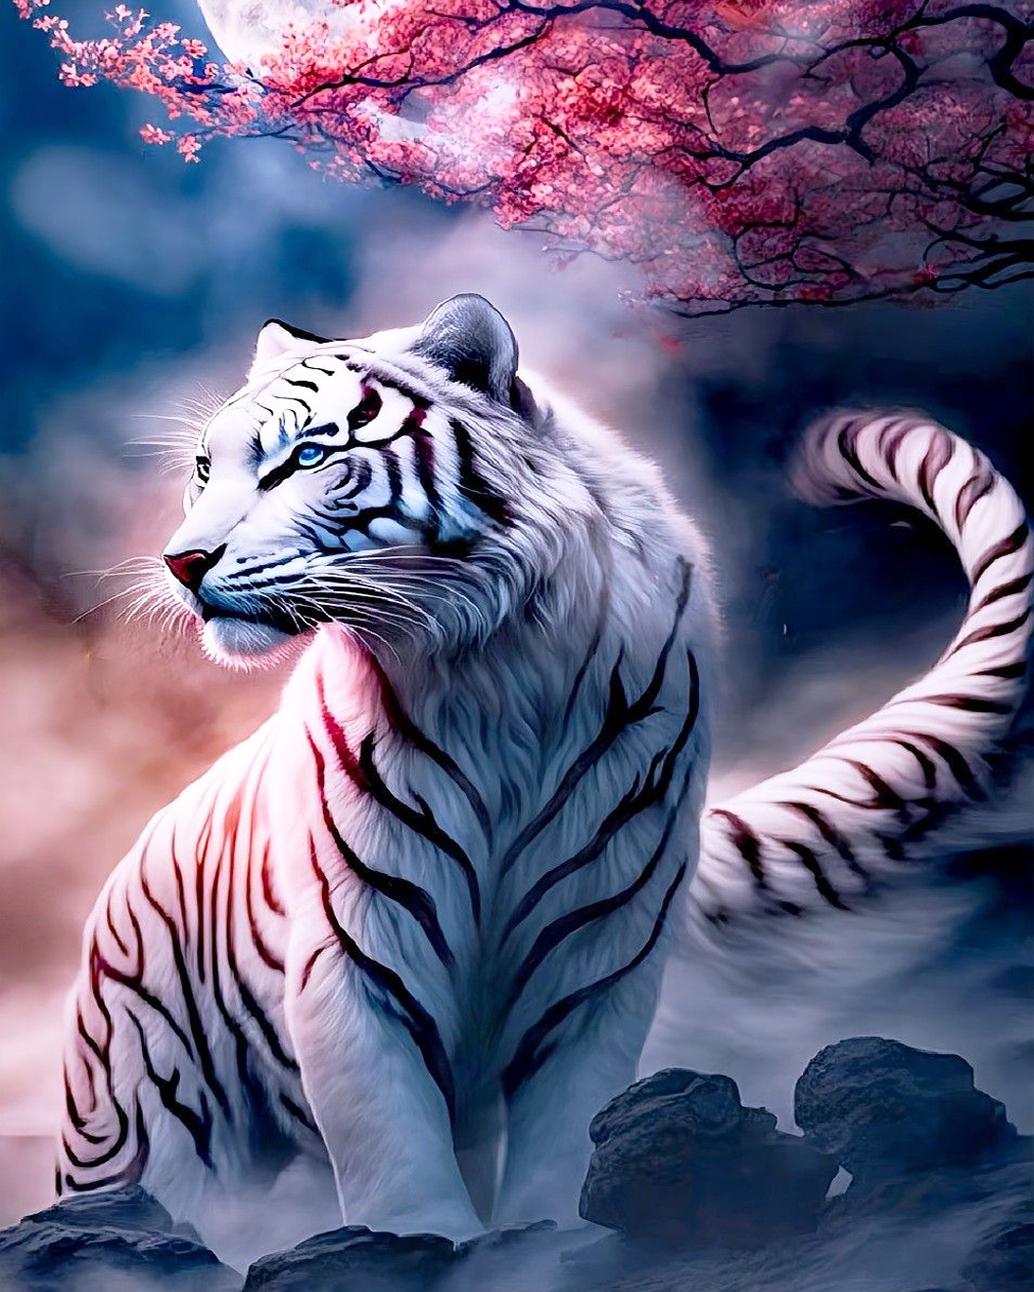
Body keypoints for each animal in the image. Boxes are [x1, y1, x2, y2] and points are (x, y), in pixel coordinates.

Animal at [57, 295, 1033, 1267]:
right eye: (204, 468)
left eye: (307, 458)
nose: (184, 561)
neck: (494, 661)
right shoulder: (355, 942)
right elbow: (387, 1130)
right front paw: (423, 1241)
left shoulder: (601, 942)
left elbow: (567, 1122)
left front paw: (556, 1235)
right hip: (141, 1116)